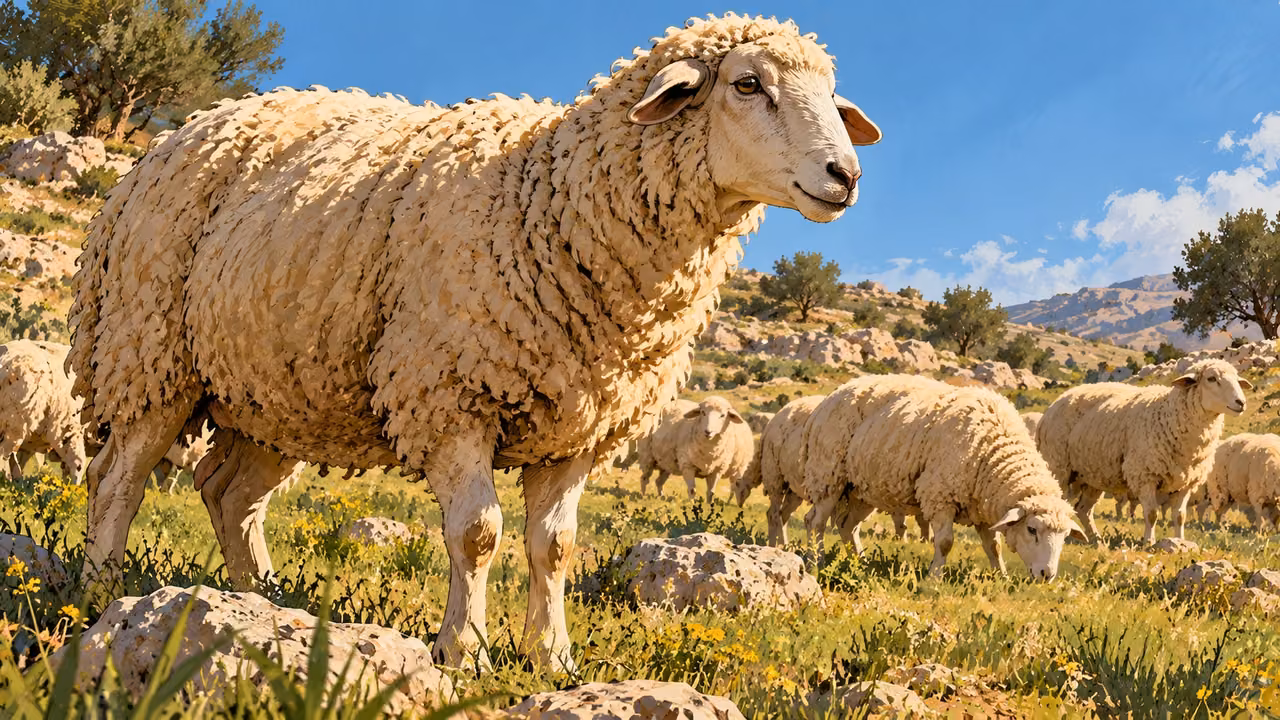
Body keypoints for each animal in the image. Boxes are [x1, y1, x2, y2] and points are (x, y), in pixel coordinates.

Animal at [67, 14, 882, 670]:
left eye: (832, 97)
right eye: (748, 84)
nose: (846, 175)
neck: (553, 200)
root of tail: (186, 129)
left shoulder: (578, 427)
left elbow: (555, 546)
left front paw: (553, 657)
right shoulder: (450, 396)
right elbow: (478, 535)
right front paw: (465, 650)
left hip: (279, 390)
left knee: (228, 493)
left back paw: (262, 599)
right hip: (150, 354)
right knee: (118, 478)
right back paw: (98, 589)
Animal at [816, 375, 1084, 579]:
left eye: (1065, 536)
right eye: (1031, 529)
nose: (1047, 574)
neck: (991, 450)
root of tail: (841, 389)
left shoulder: (981, 506)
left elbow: (994, 547)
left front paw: (1002, 576)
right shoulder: (939, 495)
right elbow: (945, 542)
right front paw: (934, 577)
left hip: (862, 489)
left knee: (847, 525)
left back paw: (859, 562)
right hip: (829, 476)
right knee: (816, 522)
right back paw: (815, 559)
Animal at [1036, 359, 1249, 545]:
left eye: (1237, 379)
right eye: (1211, 379)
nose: (1241, 402)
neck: (1171, 416)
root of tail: (1057, 402)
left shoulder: (1186, 481)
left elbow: (1180, 516)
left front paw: (1180, 541)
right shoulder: (1144, 475)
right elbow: (1152, 514)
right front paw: (1149, 542)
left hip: (1092, 475)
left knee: (1083, 509)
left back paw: (1095, 538)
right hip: (1059, 467)